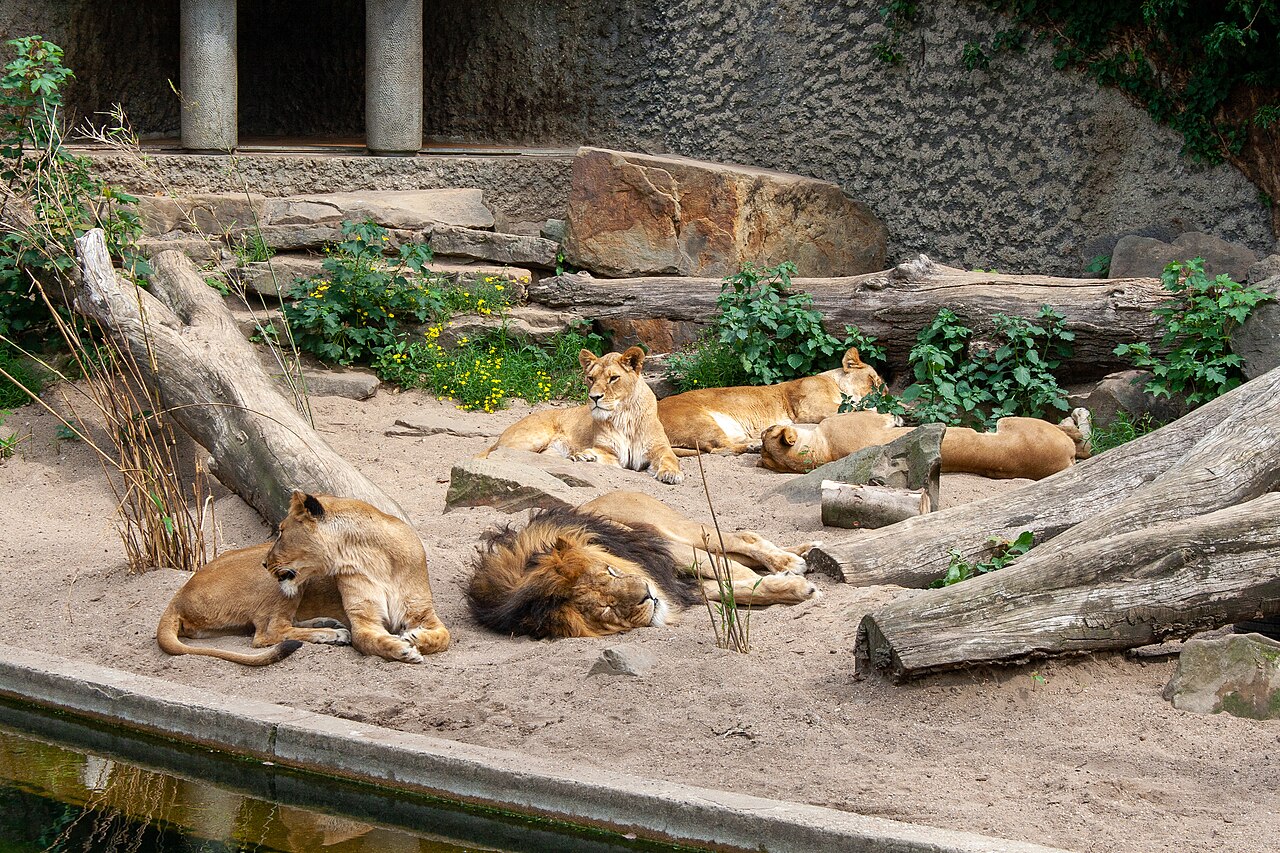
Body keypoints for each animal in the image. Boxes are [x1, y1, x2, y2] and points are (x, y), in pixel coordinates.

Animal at [157, 491, 450, 666]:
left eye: (281, 532)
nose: (265, 563)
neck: (371, 557)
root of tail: (178, 595)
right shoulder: (364, 620)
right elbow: (369, 639)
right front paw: (403, 649)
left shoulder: (424, 613)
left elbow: (444, 637)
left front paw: (413, 637)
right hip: (283, 586)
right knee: (268, 633)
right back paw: (332, 634)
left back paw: (327, 624)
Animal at [466, 491, 819, 639]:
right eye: (606, 608)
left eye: (610, 571)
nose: (647, 595)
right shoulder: (676, 585)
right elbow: (733, 587)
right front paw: (792, 587)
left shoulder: (660, 549)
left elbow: (733, 574)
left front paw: (789, 580)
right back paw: (805, 551)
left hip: (680, 530)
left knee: (744, 539)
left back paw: (790, 559)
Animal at [479, 346, 684, 484]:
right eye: (591, 378)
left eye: (613, 378)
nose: (594, 397)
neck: (623, 415)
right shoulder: (609, 451)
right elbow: (600, 454)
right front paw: (584, 456)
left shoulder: (660, 448)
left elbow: (670, 459)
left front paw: (671, 474)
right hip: (531, 438)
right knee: (496, 453)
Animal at [657, 347, 885, 455]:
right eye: (873, 382)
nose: (885, 396)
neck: (831, 380)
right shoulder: (811, 407)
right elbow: (853, 407)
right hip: (700, 421)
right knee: (717, 447)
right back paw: (754, 446)